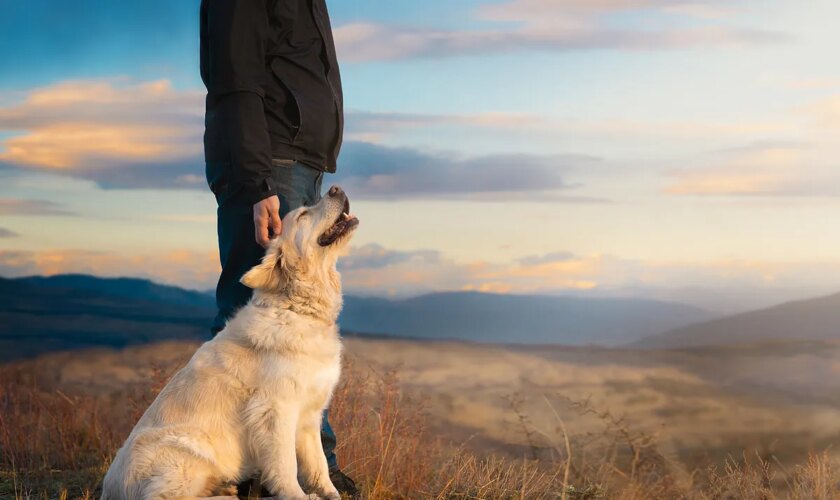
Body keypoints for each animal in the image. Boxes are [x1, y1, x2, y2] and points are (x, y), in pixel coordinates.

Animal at [101, 187, 358, 500]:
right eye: (303, 215)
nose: (335, 189)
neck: (298, 308)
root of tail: (109, 490)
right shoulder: (274, 411)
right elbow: (285, 466)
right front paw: (299, 496)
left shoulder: (309, 415)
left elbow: (319, 464)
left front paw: (331, 493)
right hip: (186, 452)